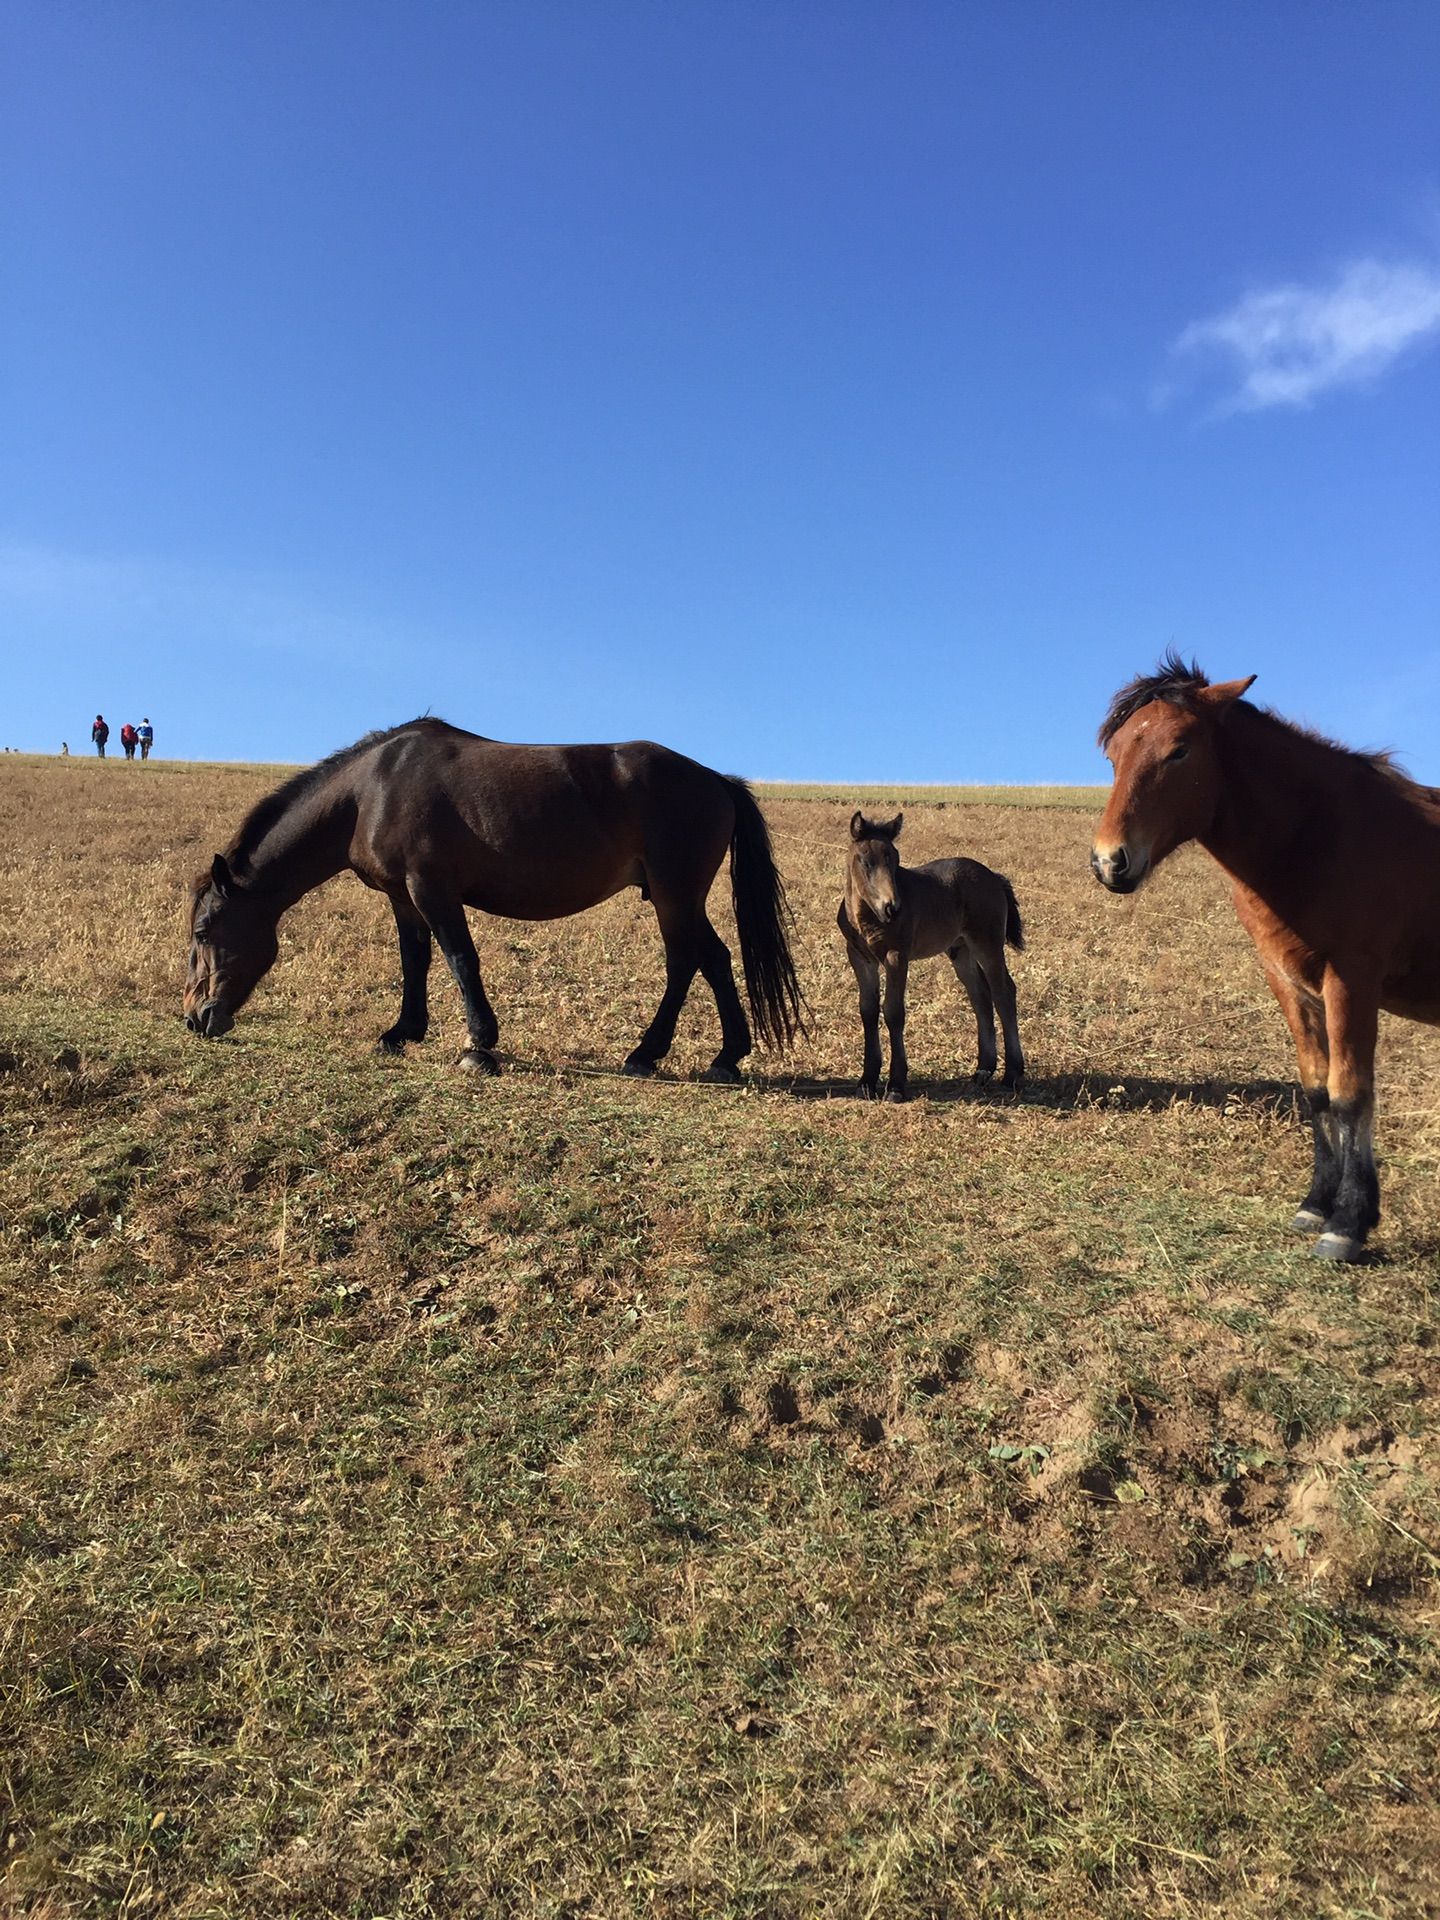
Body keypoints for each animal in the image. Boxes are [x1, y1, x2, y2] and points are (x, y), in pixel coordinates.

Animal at [186, 721, 806, 1082]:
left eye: (202, 932)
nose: (196, 1018)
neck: (371, 791)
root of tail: (715, 780)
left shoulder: (431, 888)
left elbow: (461, 959)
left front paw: (479, 1047)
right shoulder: (404, 898)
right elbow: (415, 960)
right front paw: (402, 1032)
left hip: (675, 895)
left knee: (686, 962)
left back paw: (649, 1053)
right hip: (679, 897)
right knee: (713, 959)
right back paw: (724, 1056)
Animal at [833, 810, 1029, 1105]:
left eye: (896, 859)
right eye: (866, 861)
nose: (892, 908)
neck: (867, 917)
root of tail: (993, 876)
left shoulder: (896, 956)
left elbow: (893, 1011)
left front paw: (896, 1085)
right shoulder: (859, 957)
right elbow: (868, 1010)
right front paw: (866, 1081)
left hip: (987, 943)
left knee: (1003, 992)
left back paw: (1011, 1075)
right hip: (960, 950)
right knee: (980, 996)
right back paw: (983, 1070)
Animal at [1090, 652, 1440, 1267]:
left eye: (1180, 750)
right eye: (1114, 756)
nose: (1110, 861)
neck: (1317, 835)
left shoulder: (1352, 978)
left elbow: (1352, 1092)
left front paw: (1348, 1223)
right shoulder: (1288, 979)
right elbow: (1317, 1087)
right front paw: (1317, 1204)